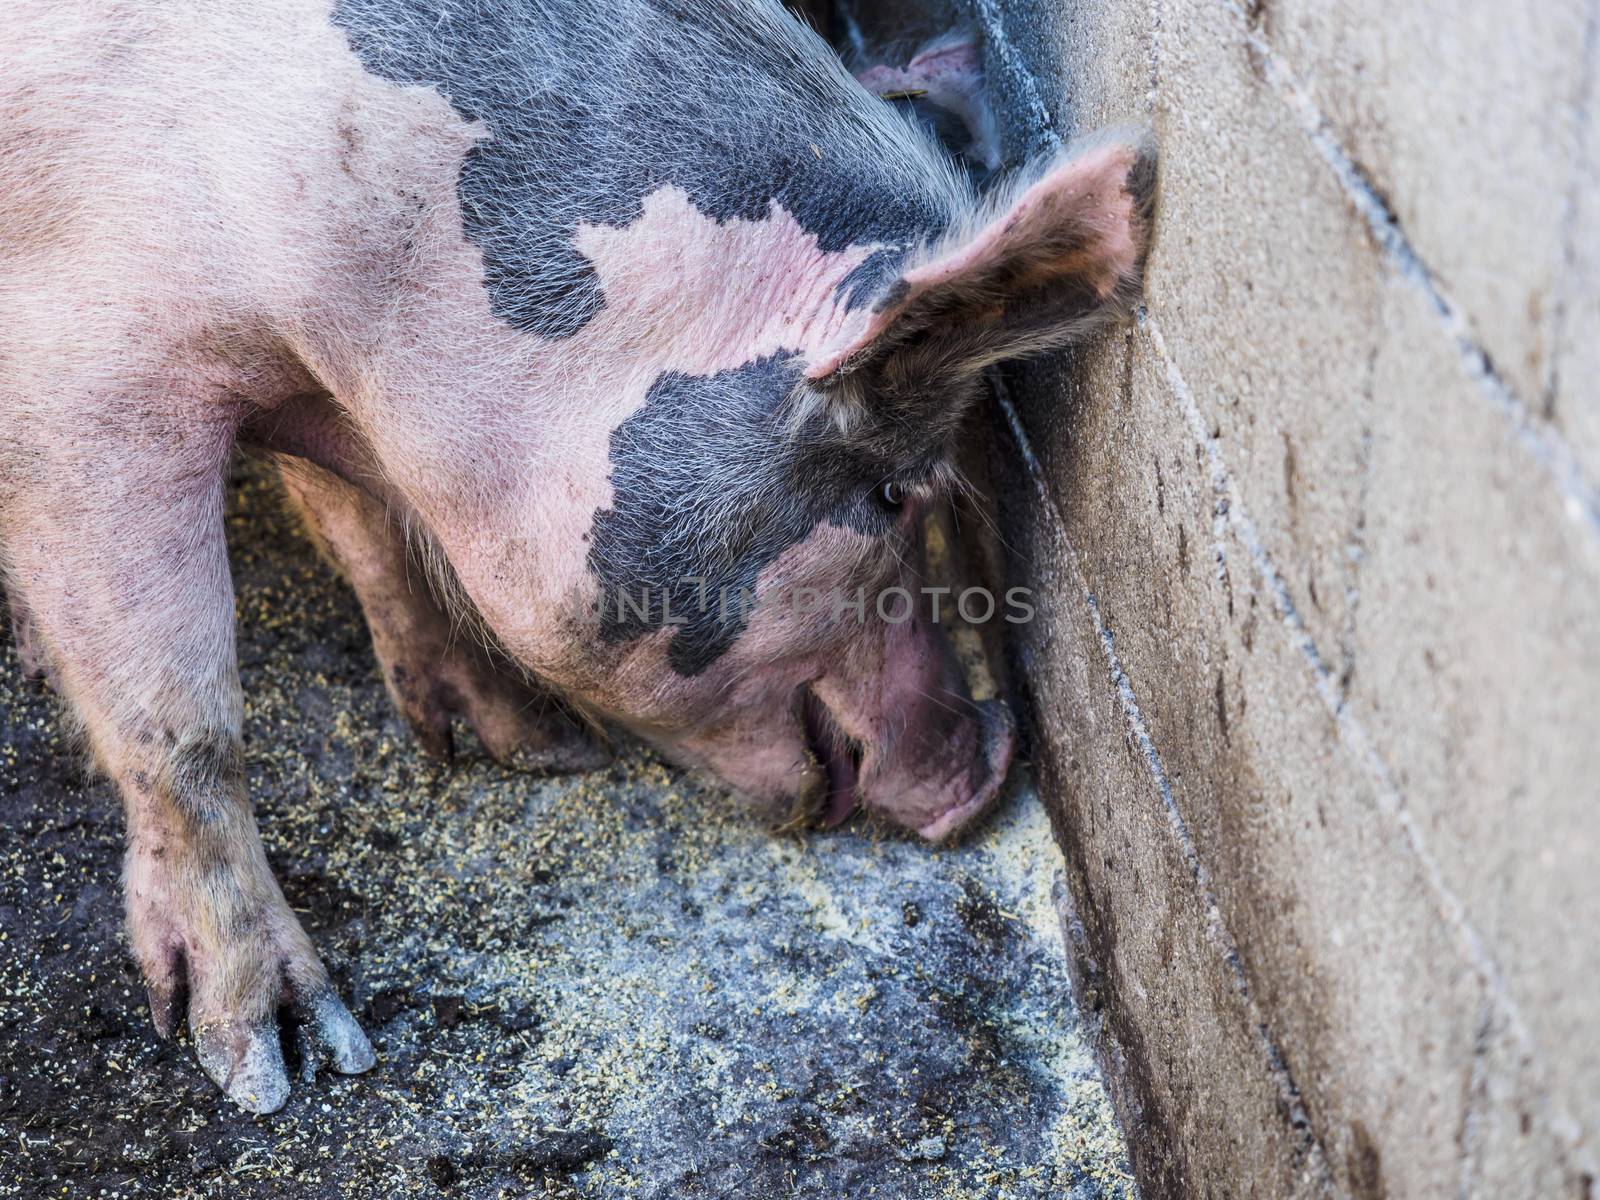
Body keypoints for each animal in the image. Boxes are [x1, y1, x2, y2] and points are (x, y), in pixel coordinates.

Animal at [0, 0, 1152, 1120]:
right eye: (896, 494)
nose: (997, 760)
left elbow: (365, 532)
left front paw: (533, 748)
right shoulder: (86, 385)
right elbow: (183, 720)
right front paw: (286, 1062)